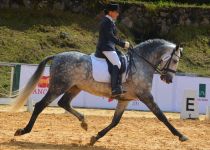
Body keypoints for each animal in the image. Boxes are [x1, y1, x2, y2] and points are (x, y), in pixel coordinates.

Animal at [11, 38, 189, 145]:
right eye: (175, 60)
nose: (169, 79)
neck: (141, 63)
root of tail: (57, 56)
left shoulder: (125, 99)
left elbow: (115, 121)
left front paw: (95, 138)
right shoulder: (145, 96)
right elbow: (162, 116)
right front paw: (181, 135)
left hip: (75, 87)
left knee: (64, 103)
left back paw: (84, 122)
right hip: (59, 86)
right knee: (40, 105)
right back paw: (23, 130)